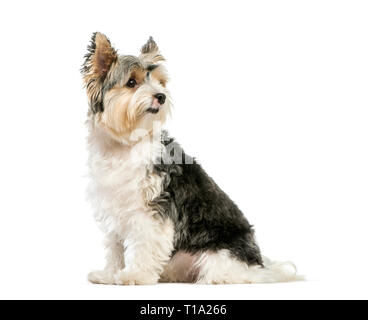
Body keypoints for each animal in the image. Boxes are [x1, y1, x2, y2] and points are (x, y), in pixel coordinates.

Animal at [81, 32, 302, 284]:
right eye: (131, 83)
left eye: (159, 82)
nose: (161, 96)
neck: (126, 143)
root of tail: (260, 267)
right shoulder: (114, 206)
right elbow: (115, 247)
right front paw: (110, 274)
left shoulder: (152, 211)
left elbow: (145, 245)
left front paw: (135, 275)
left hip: (218, 256)